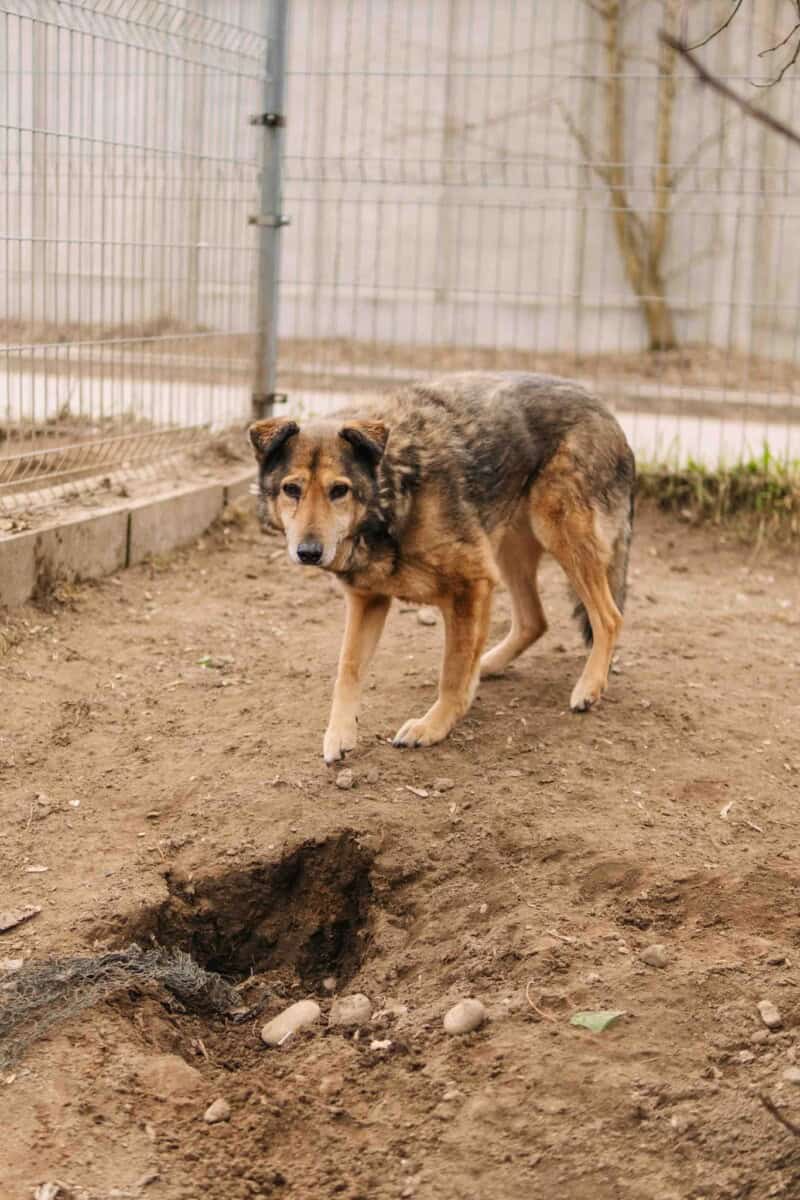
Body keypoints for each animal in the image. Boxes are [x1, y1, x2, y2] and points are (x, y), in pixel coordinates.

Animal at [249, 372, 635, 763]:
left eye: (339, 490)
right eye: (292, 489)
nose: (309, 552)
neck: (392, 490)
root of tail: (603, 407)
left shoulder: (471, 586)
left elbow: (451, 673)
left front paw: (432, 727)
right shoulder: (368, 600)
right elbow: (348, 669)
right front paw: (339, 734)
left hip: (559, 534)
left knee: (609, 617)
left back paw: (588, 687)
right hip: (509, 550)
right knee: (534, 620)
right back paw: (489, 664)